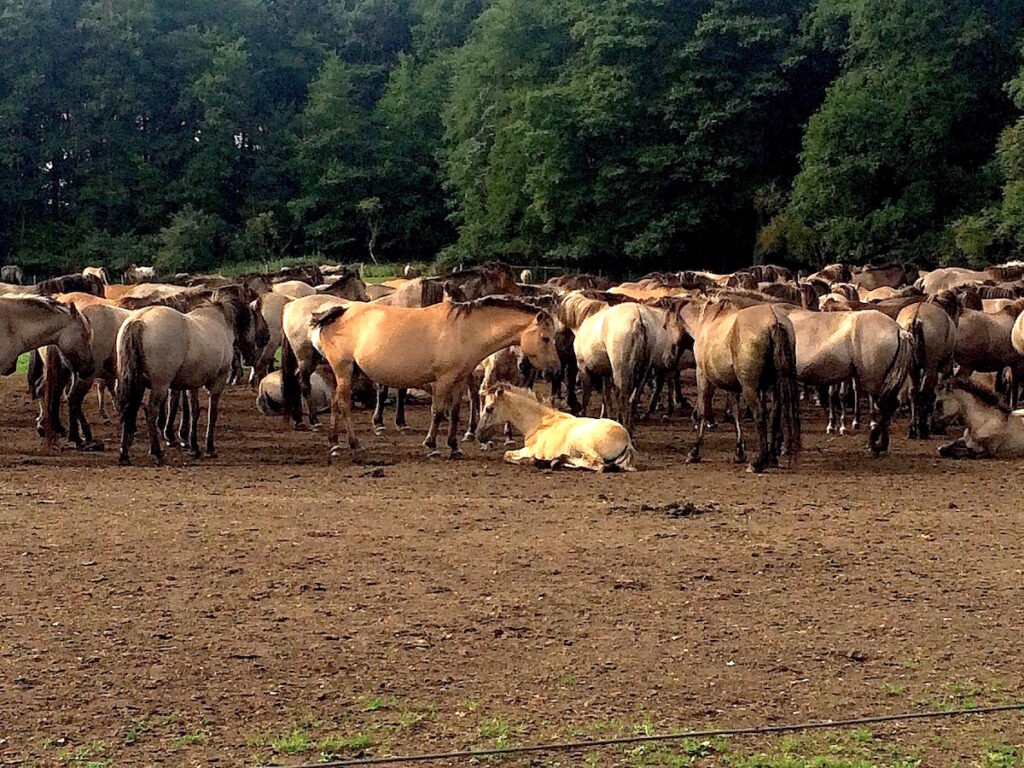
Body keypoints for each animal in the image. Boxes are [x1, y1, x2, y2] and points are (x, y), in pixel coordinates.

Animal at [475, 382, 634, 468]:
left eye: (489, 408)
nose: (479, 435)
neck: (539, 423)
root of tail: (627, 439)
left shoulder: (530, 449)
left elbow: (507, 454)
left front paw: (529, 461)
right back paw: (556, 462)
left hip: (584, 443)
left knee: (596, 463)